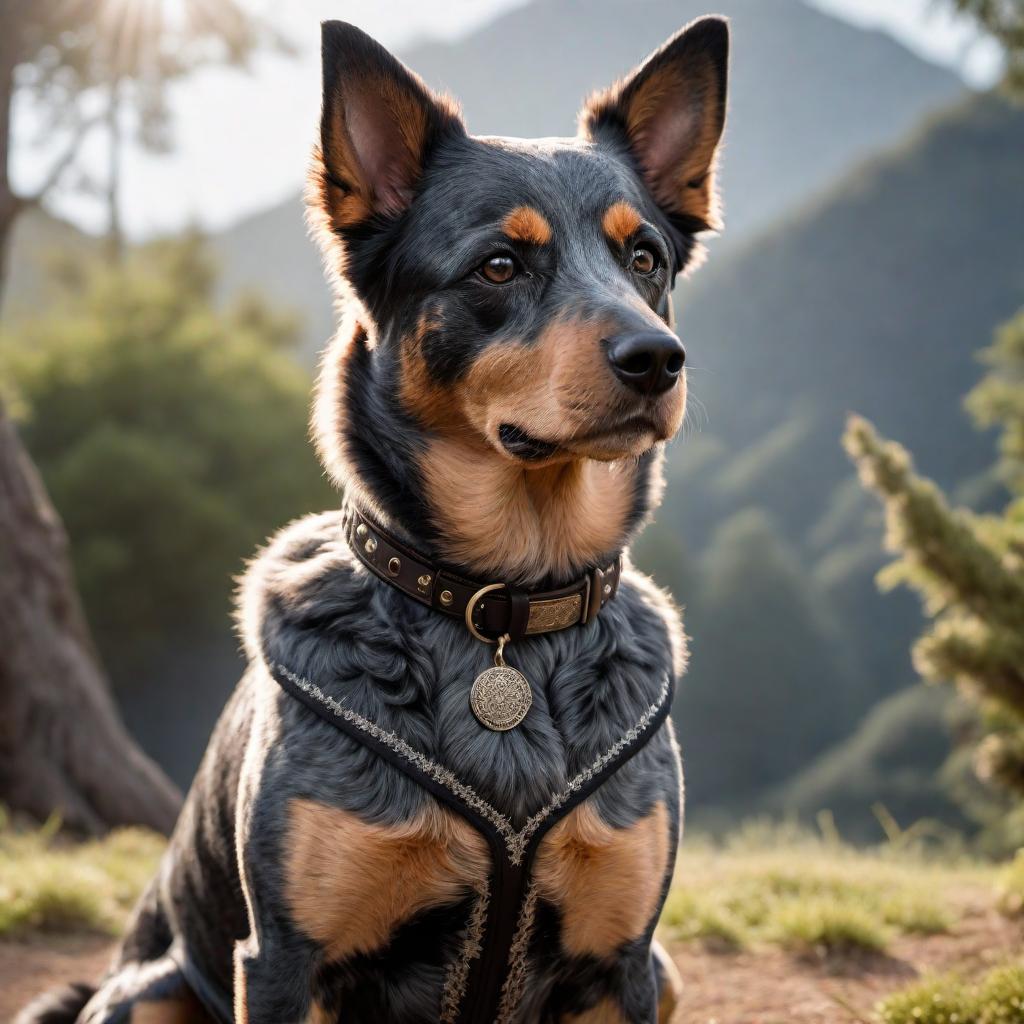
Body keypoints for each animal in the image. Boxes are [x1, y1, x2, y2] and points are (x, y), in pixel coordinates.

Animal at [18, 18, 729, 1024]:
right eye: (500, 265)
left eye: (646, 259)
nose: (658, 358)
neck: (503, 610)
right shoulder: (282, 959)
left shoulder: (623, 959)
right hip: (149, 991)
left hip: (667, 973)